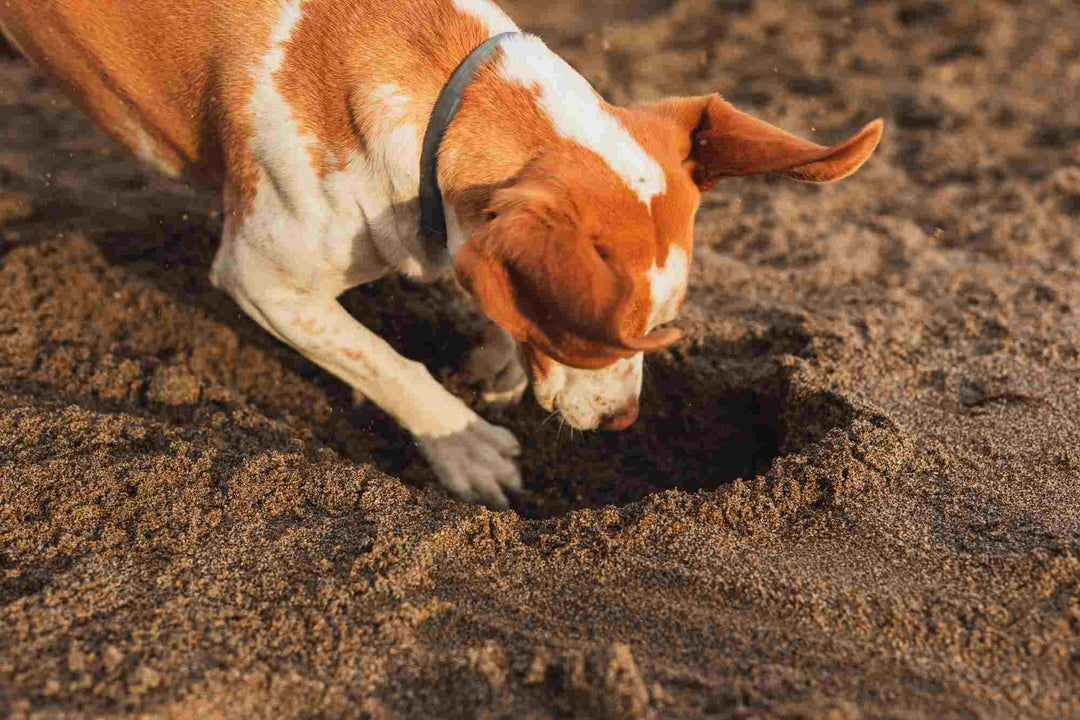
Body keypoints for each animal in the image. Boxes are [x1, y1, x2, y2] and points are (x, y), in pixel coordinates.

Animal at [2, 0, 885, 507]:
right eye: (610, 338)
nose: (626, 420)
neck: (444, 88)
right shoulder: (263, 278)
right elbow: (384, 361)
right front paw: (464, 446)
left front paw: (496, 357)